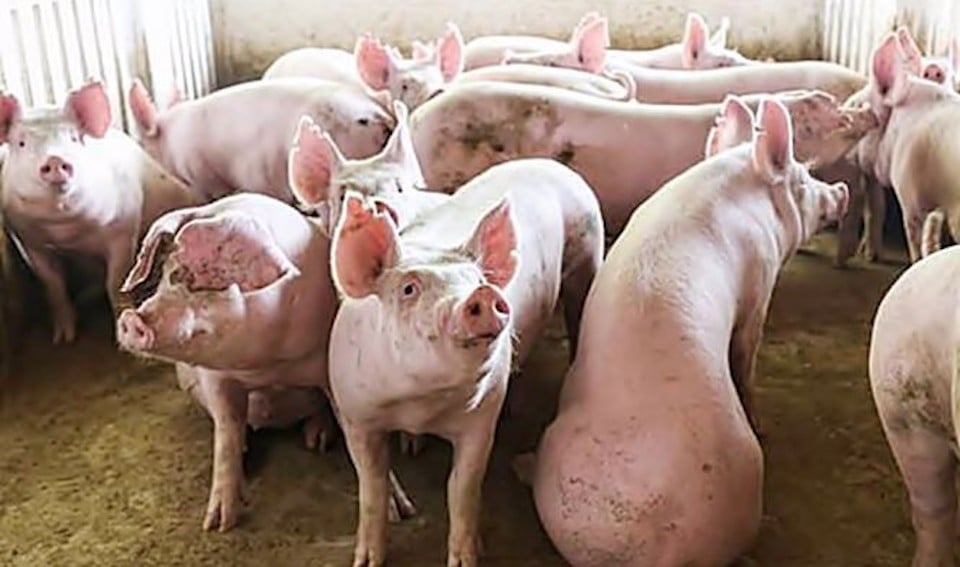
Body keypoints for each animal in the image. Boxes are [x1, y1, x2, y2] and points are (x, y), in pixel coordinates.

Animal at [0, 80, 202, 344]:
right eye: (21, 143)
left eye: (74, 139)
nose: (55, 160)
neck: (66, 233)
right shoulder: (28, 241)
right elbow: (53, 283)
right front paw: (63, 339)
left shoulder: (123, 230)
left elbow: (115, 281)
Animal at [115, 192, 415, 531]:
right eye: (169, 275)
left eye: (213, 280)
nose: (132, 320)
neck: (267, 363)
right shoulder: (215, 378)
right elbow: (227, 433)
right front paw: (217, 524)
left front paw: (400, 512)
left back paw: (318, 440)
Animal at [327, 157, 604, 566]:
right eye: (408, 289)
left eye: (475, 279)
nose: (484, 294)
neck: (420, 404)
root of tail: (548, 163)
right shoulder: (356, 414)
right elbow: (371, 487)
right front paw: (366, 560)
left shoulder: (481, 418)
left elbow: (462, 488)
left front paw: (466, 559)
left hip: (588, 250)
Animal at [527, 97, 848, 567]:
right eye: (804, 180)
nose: (841, 189)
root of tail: (665, 554)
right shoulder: (760, 283)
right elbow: (746, 356)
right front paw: (765, 423)